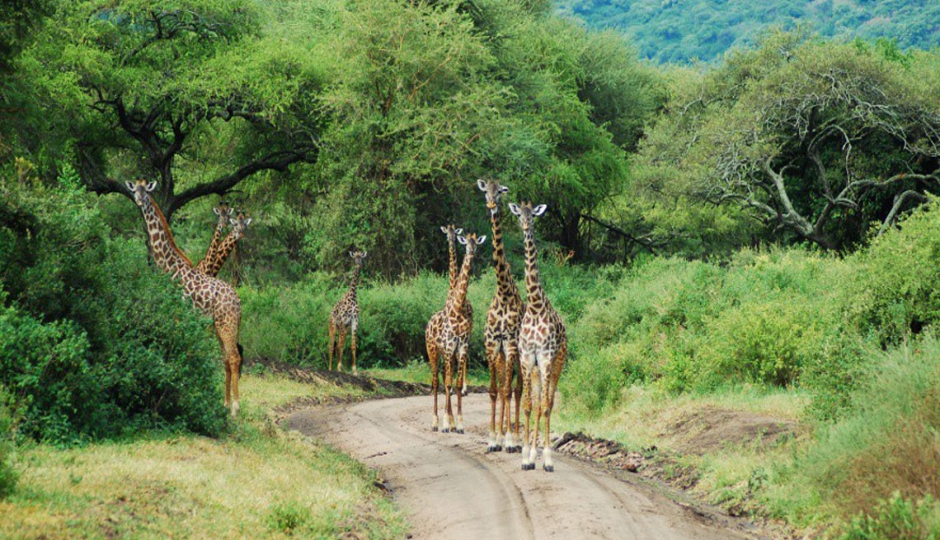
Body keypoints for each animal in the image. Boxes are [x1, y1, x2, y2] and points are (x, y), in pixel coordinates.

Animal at [126, 180, 246, 418]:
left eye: (146, 190)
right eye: (134, 189)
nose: (139, 200)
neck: (169, 265)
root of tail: (238, 302)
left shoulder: (179, 312)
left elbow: (181, 351)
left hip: (226, 325)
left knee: (234, 357)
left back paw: (235, 409)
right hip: (220, 326)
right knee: (227, 358)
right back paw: (224, 404)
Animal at [424, 231, 484, 430]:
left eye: (476, 243)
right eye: (466, 243)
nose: (472, 250)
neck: (458, 307)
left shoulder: (462, 346)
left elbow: (455, 384)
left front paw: (459, 424)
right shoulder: (450, 347)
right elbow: (448, 384)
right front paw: (445, 422)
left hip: (445, 354)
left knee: (444, 380)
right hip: (433, 351)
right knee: (436, 382)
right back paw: (435, 422)